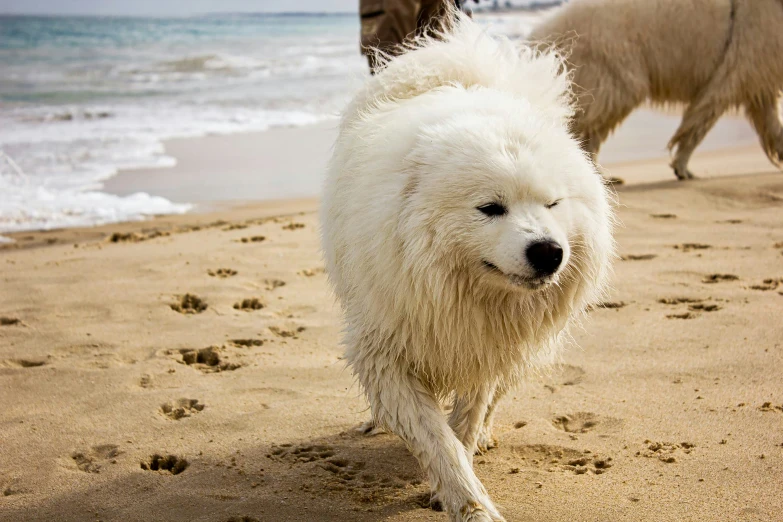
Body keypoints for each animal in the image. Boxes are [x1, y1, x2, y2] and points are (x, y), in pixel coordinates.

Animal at [322, 9, 616, 520]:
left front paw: (462, 473)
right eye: (490, 208)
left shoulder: (486, 346)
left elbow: (468, 416)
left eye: (553, 204)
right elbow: (435, 438)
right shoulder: (386, 349)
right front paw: (468, 499)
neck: (454, 290)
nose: (548, 251)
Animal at [528, 0, 783, 179]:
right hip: (612, 71)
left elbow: (771, 122)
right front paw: (682, 167)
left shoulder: (760, 72)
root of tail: (544, 30)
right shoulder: (740, 61)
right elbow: (703, 118)